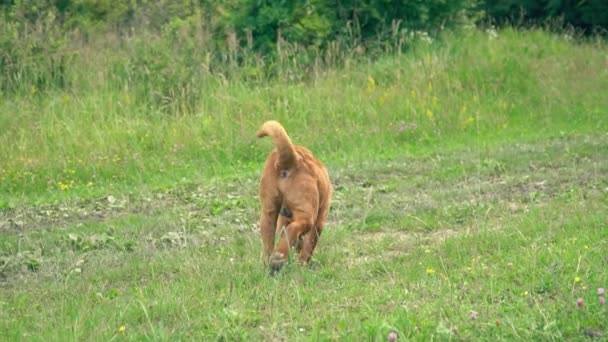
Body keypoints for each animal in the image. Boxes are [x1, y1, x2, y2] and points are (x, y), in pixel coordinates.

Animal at [256, 121, 332, 272]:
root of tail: (292, 159)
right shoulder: (320, 220)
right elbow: (309, 245)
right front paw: (302, 264)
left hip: (268, 210)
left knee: (268, 241)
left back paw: (270, 262)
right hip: (306, 209)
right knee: (297, 226)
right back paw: (278, 258)